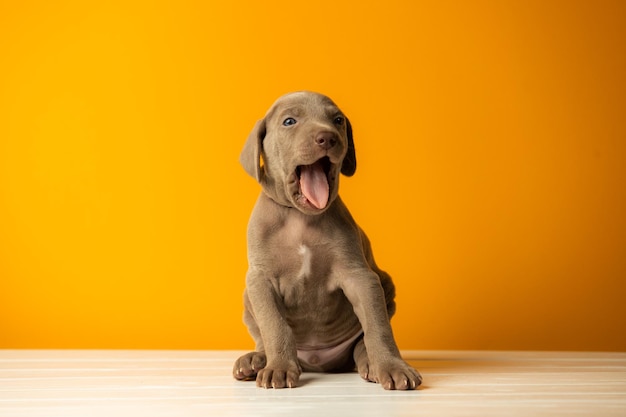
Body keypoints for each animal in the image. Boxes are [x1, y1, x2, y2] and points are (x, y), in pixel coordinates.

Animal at [233, 91, 420, 390]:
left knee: (361, 343)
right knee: (262, 336)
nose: (327, 138)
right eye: (289, 121)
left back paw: (370, 364)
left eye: (338, 120)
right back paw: (254, 360)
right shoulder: (260, 280)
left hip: (386, 285)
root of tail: (317, 361)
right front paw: (279, 367)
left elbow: (378, 327)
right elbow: (274, 326)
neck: (300, 217)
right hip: (247, 298)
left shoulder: (360, 277)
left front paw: (392, 367)